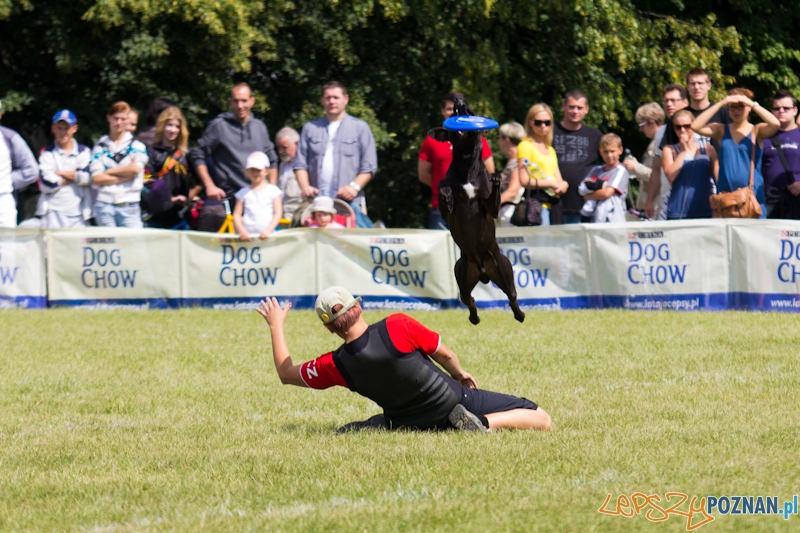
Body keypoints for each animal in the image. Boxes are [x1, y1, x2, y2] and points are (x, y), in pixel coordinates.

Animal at [432, 99, 524, 324]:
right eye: (454, 111)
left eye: (470, 110)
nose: (459, 101)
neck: (466, 160)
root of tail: (483, 271)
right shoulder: (446, 208)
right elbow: (442, 186)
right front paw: (447, 196)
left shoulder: (491, 208)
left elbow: (493, 197)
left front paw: (497, 177)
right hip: (462, 275)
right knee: (469, 299)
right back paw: (474, 318)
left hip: (504, 271)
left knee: (512, 296)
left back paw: (520, 315)